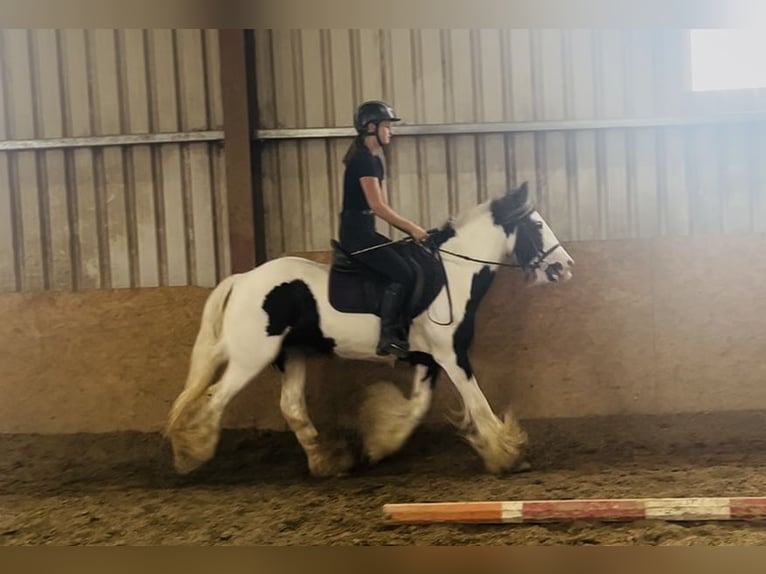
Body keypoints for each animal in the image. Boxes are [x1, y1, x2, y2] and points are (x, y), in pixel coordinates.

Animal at [166, 181, 574, 477]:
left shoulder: (427, 358)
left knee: (291, 406)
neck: (453, 274)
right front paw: (508, 456)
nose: (565, 267)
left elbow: (417, 407)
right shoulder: (452, 355)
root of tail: (244, 279)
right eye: (538, 225)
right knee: (215, 398)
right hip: (251, 357)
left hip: (291, 354)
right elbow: (478, 404)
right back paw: (191, 453)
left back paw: (327, 462)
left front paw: (381, 442)